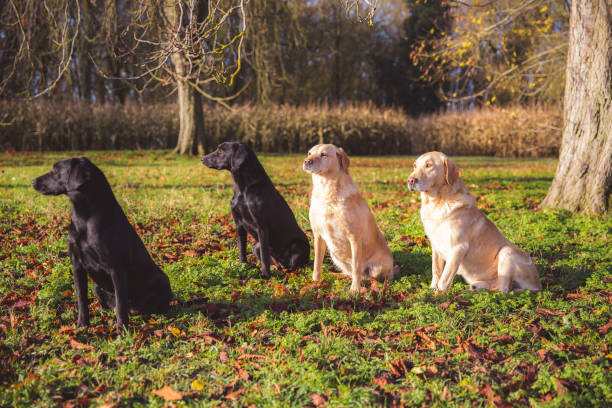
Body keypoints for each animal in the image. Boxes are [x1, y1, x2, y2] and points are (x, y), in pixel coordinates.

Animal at [32, 158, 173, 330]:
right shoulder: (77, 264)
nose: (32, 181)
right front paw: (82, 325)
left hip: (162, 281)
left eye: (57, 171)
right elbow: (82, 299)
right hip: (97, 286)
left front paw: (122, 330)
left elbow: (121, 304)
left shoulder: (116, 268)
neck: (84, 217)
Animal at [203, 141, 310, 278]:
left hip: (298, 246)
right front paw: (242, 266)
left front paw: (265, 275)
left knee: (292, 265)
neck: (243, 190)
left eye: (221, 151)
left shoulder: (262, 226)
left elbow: (264, 255)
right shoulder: (239, 224)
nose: (202, 158)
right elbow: (241, 249)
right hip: (255, 246)